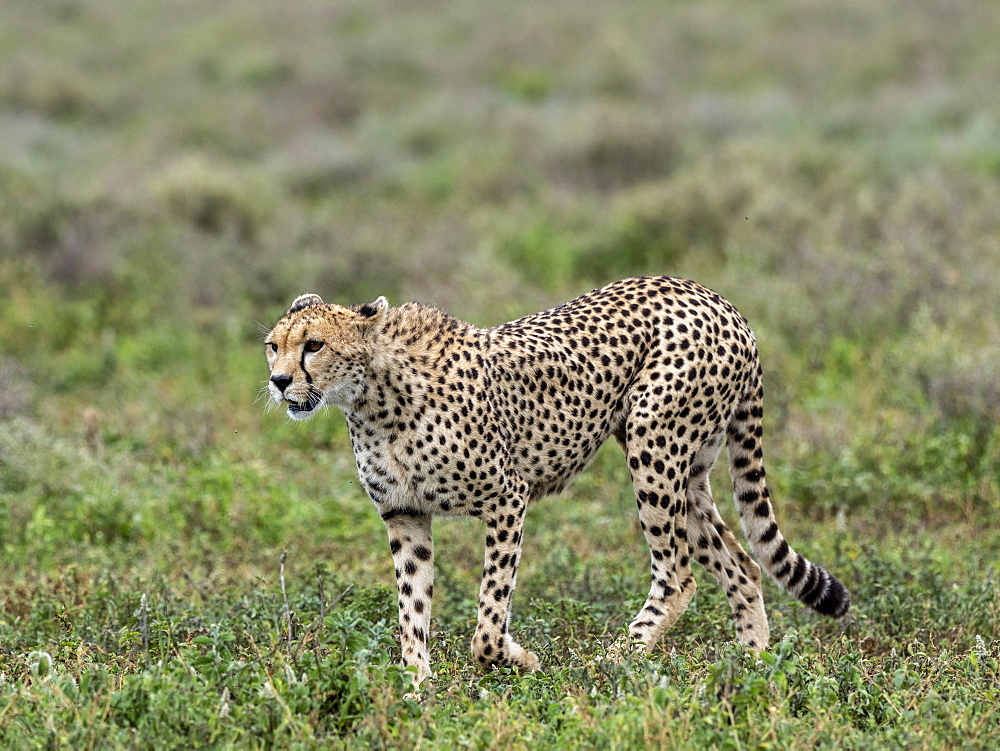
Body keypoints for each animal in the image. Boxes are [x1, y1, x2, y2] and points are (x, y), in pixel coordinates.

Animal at [266, 274, 852, 688]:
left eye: (314, 345)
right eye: (273, 345)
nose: (278, 380)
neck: (372, 397)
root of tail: (716, 298)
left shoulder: (507, 497)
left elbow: (488, 620)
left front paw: (519, 659)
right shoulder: (404, 514)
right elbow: (412, 609)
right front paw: (416, 688)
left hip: (653, 443)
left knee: (678, 573)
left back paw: (614, 660)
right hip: (688, 472)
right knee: (744, 564)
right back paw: (754, 668)